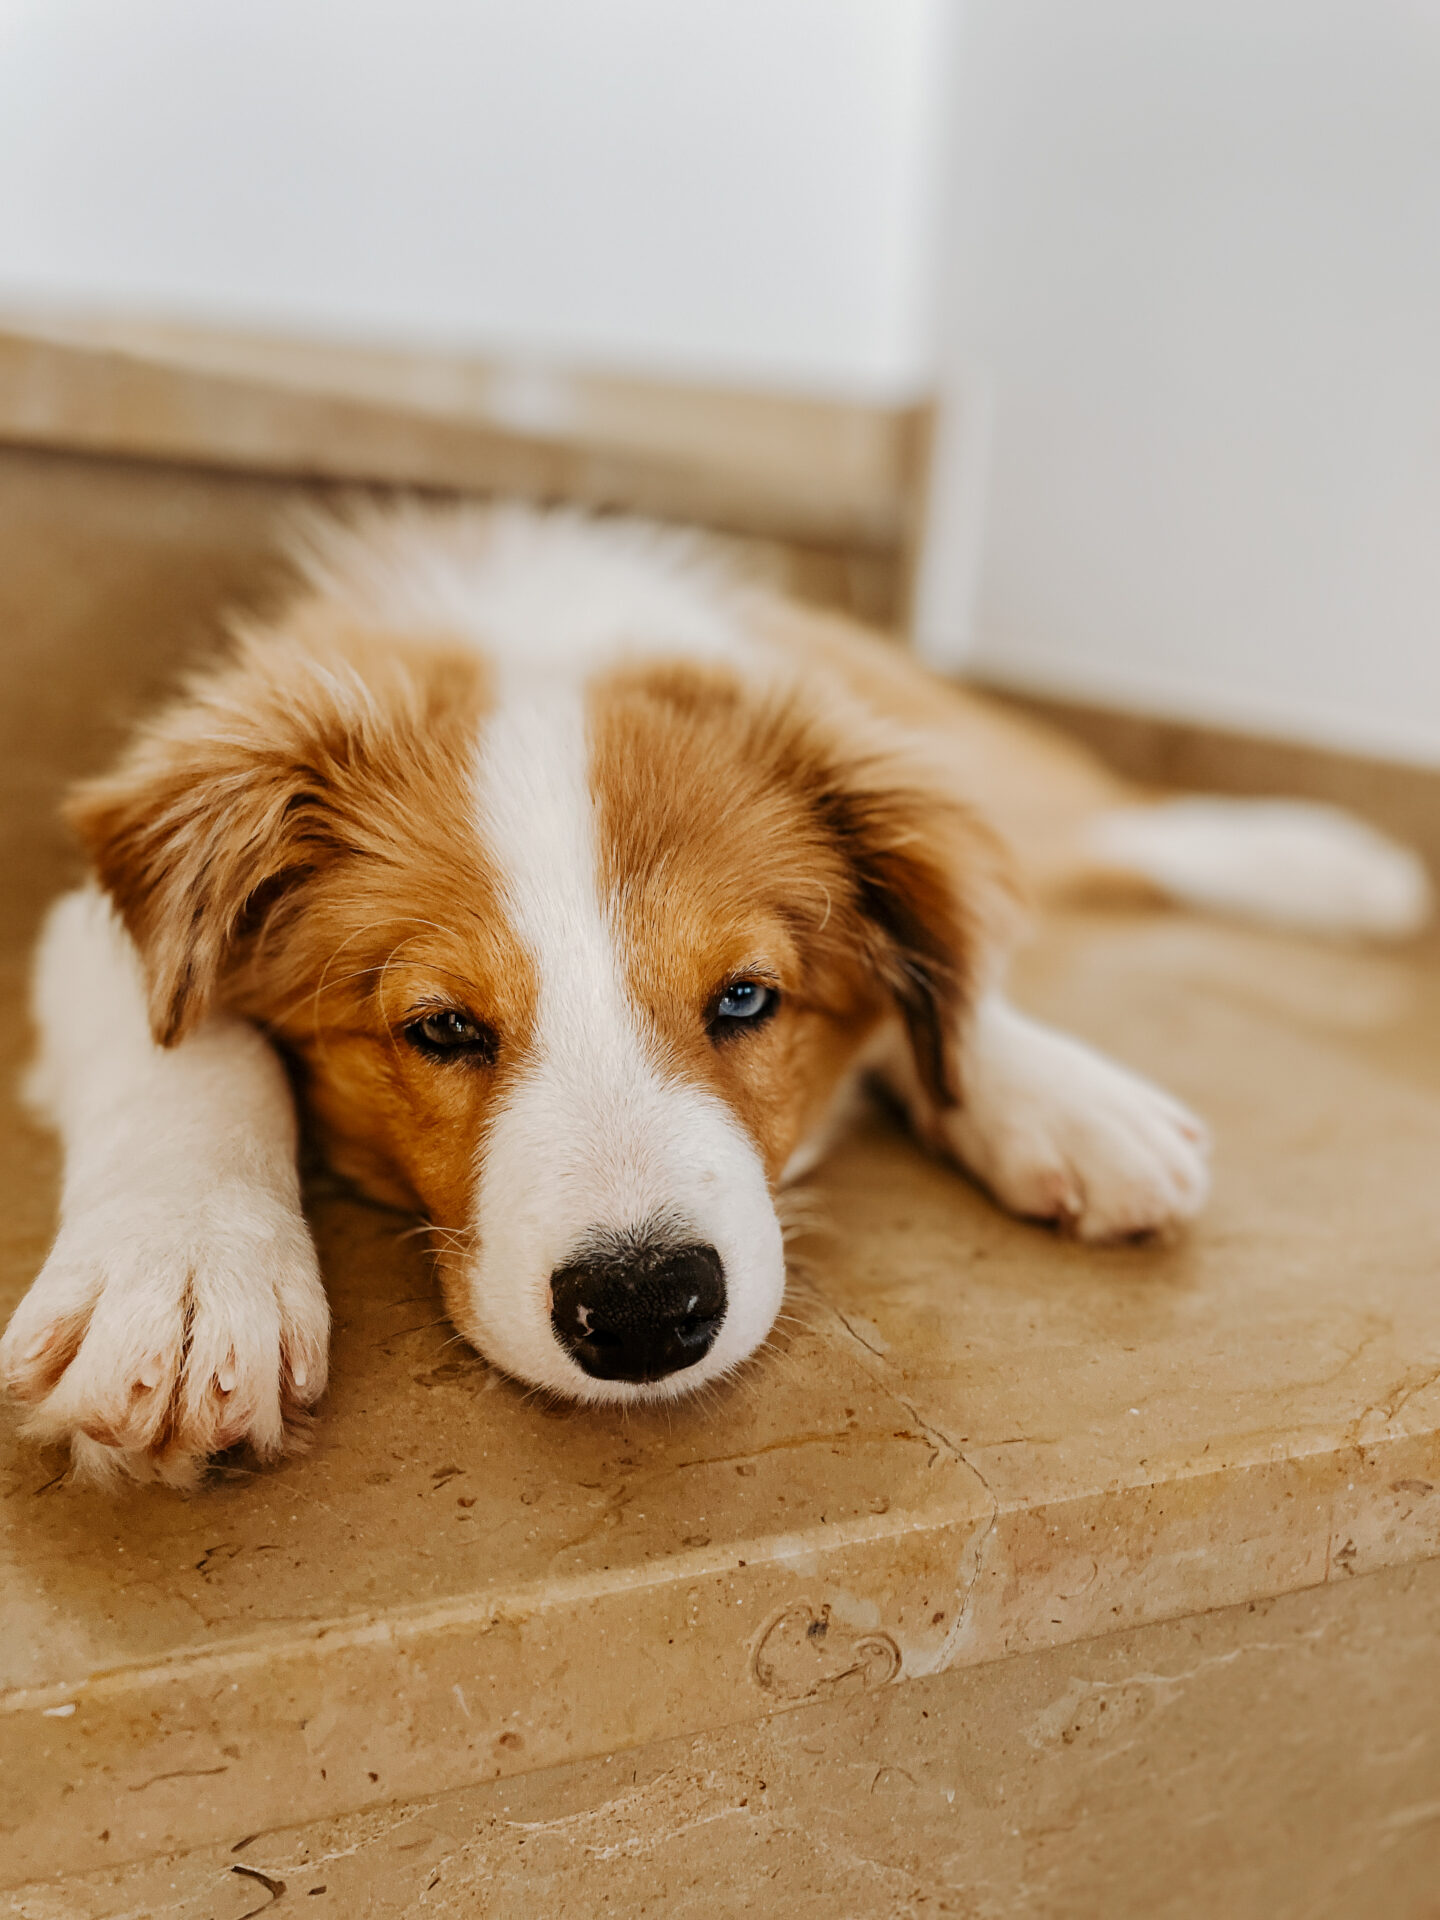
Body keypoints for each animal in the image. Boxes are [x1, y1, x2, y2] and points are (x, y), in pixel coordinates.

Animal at [0, 506, 1436, 1482]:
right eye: (442, 1028)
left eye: (746, 1001)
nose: (644, 1312)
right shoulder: (91, 918)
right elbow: (184, 1047)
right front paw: (183, 1276)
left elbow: (945, 978)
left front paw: (1050, 1094)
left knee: (1098, 822)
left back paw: (1338, 868)